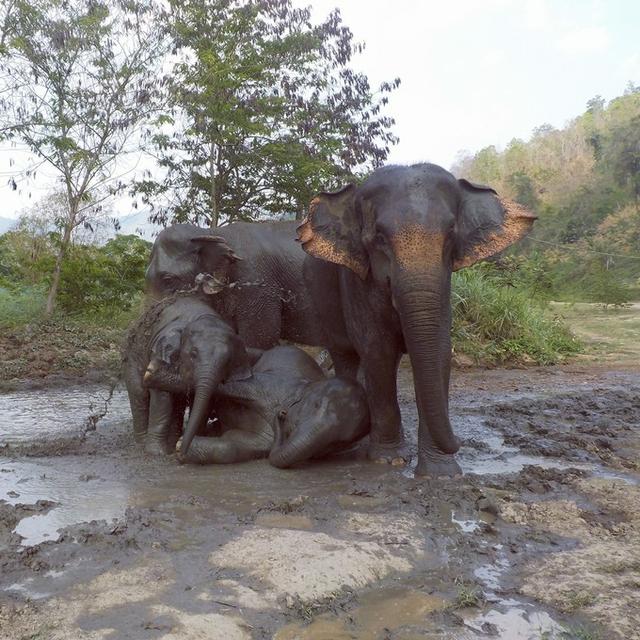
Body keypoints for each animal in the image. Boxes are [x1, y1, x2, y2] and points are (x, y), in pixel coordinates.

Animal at [298, 162, 536, 478]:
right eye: (379, 237)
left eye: (451, 233)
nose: (459, 442)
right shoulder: (357, 281)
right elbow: (378, 350)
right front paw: (389, 460)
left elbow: (438, 351)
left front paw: (441, 473)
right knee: (346, 354)